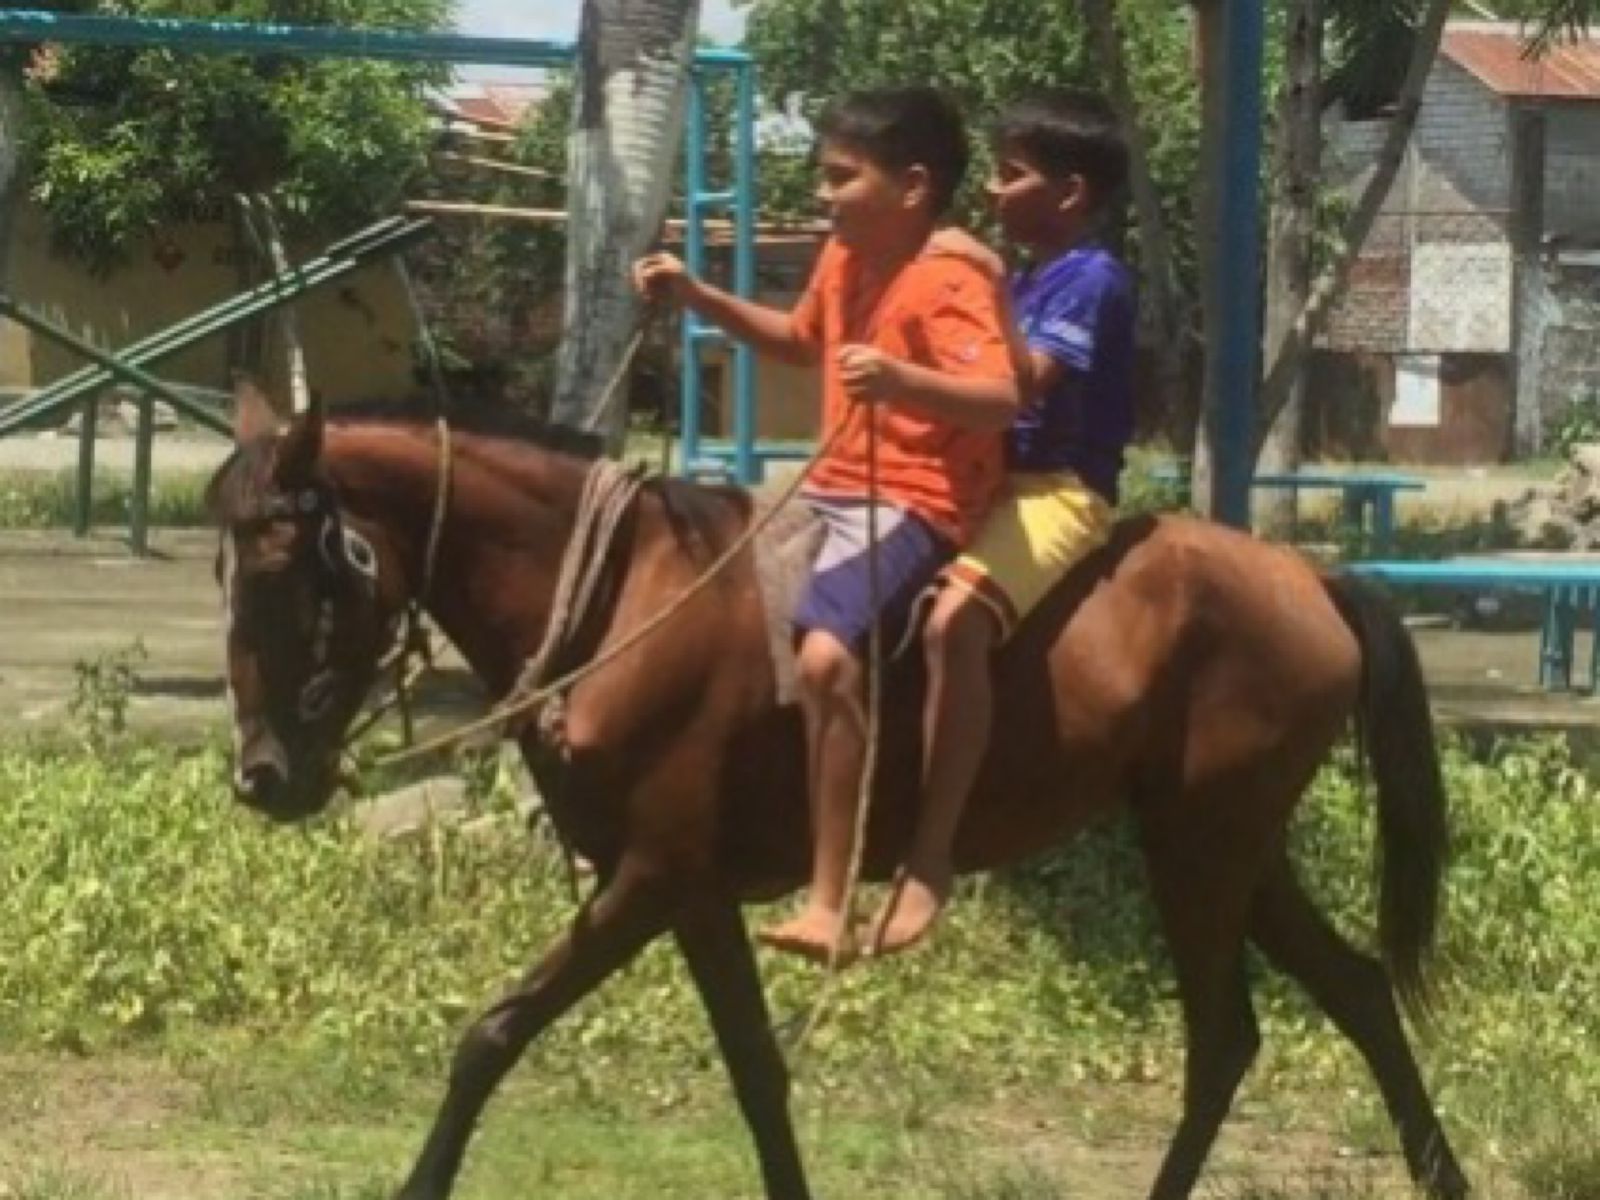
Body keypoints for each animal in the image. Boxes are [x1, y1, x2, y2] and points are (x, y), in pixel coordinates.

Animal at [206, 387, 1465, 1200]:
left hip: (1199, 851)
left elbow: (490, 1036)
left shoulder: (649, 878)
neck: (624, 599)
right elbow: (758, 1075)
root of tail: (1307, 580)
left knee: (1224, 1037)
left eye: (294, 567)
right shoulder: (693, 894)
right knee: (1354, 993)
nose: (264, 777)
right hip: (1227, 846)